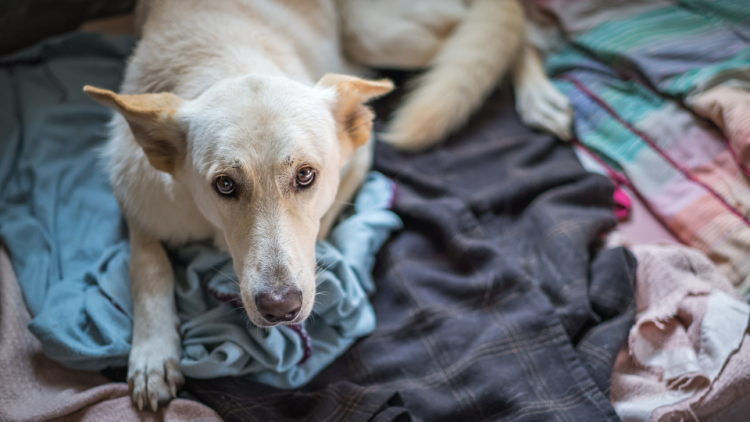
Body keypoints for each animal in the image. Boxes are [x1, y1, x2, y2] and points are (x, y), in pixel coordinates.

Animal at [83, 0, 576, 410]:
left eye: (305, 176)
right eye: (224, 185)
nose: (280, 307)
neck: (226, 56)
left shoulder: (358, 160)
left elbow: (326, 225)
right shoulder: (139, 203)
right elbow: (148, 267)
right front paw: (152, 353)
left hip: (379, 33)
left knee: (504, 30)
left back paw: (540, 97)